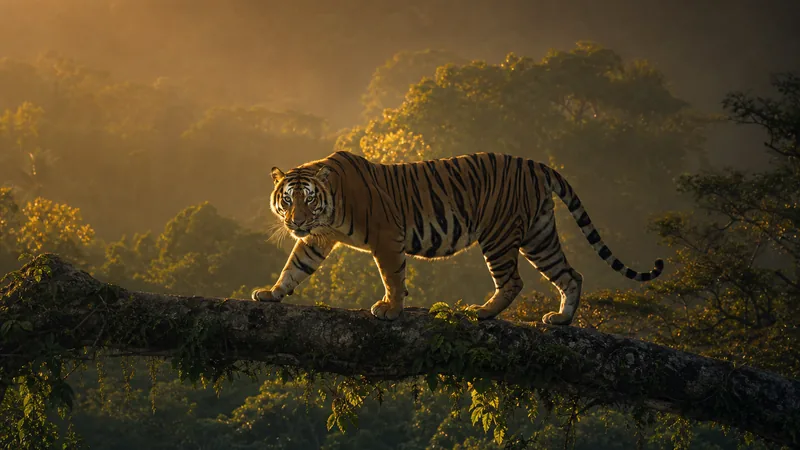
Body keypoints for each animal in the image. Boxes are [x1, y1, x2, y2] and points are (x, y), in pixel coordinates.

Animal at [251, 150, 664, 326]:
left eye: (308, 199)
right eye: (287, 200)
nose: (295, 221)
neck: (330, 207)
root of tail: (535, 163)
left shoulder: (387, 237)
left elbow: (393, 277)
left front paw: (391, 309)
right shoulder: (317, 239)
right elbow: (294, 267)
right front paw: (271, 293)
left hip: (499, 235)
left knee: (513, 281)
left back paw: (482, 312)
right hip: (539, 235)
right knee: (570, 274)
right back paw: (561, 320)